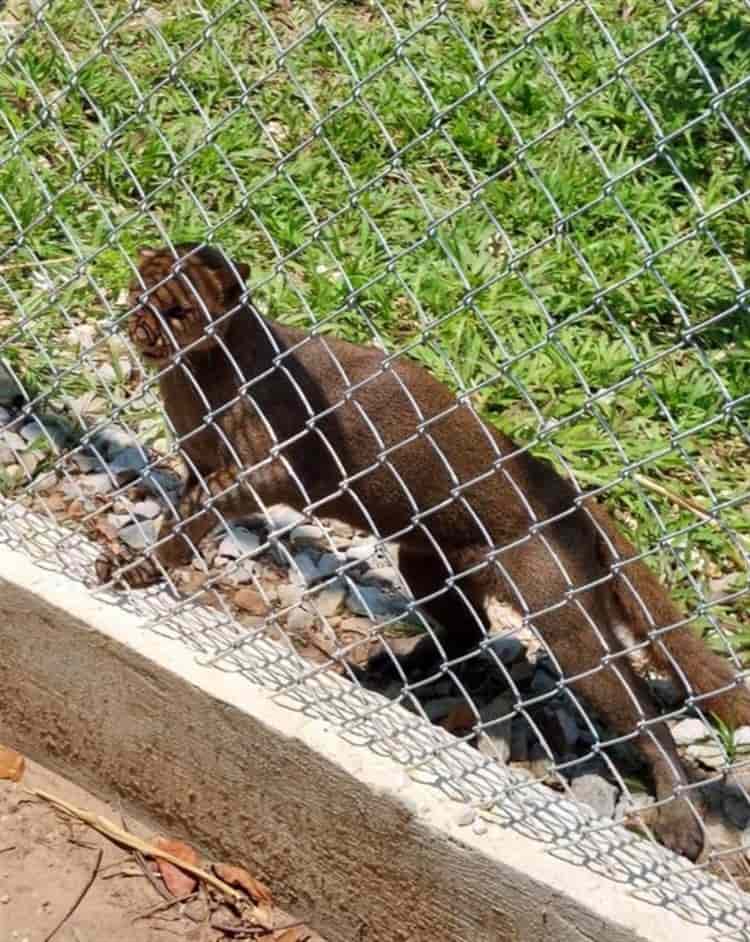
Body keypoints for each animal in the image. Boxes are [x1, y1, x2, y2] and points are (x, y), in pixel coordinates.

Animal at [98, 243, 750, 864]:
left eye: (178, 309)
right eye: (138, 292)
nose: (142, 327)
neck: (195, 382)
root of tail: (570, 494)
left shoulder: (276, 468)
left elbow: (205, 514)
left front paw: (141, 566)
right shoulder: (195, 466)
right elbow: (176, 526)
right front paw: (132, 566)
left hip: (563, 617)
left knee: (641, 709)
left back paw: (680, 819)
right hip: (426, 561)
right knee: (471, 632)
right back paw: (394, 666)